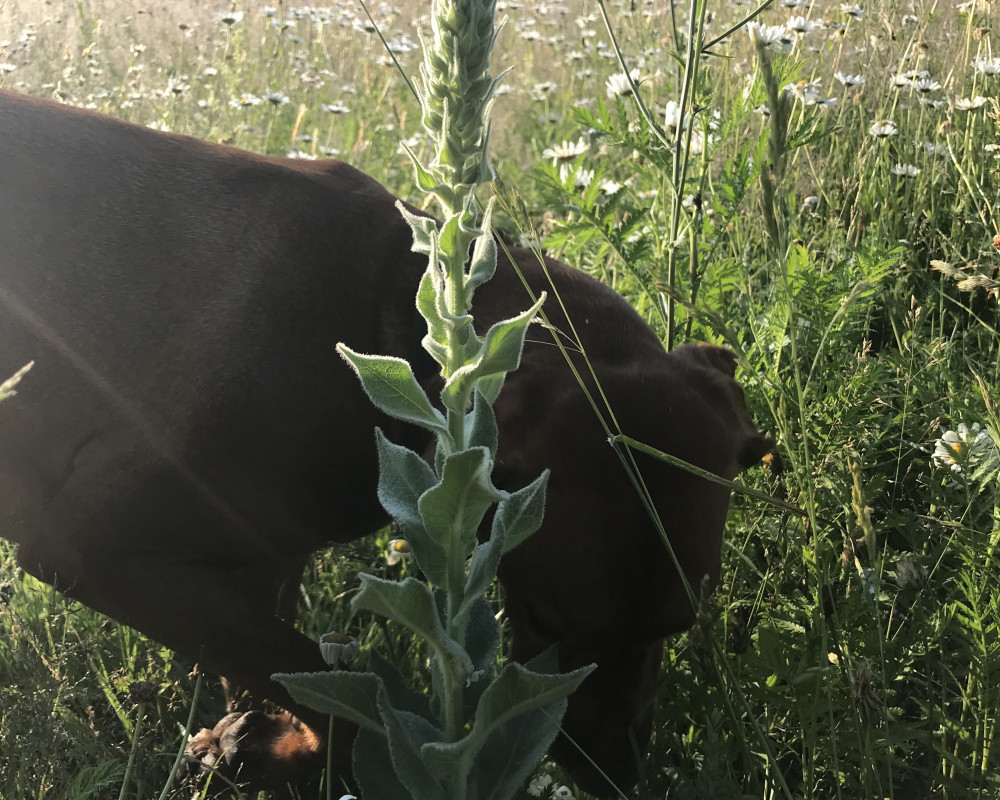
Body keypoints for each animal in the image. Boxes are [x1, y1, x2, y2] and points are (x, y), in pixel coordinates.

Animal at [0, 90, 772, 796]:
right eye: (543, 619)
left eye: (680, 625)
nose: (614, 776)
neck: (389, 310)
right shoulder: (89, 547)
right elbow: (340, 698)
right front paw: (282, 753)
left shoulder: (262, 556)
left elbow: (279, 666)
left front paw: (251, 743)